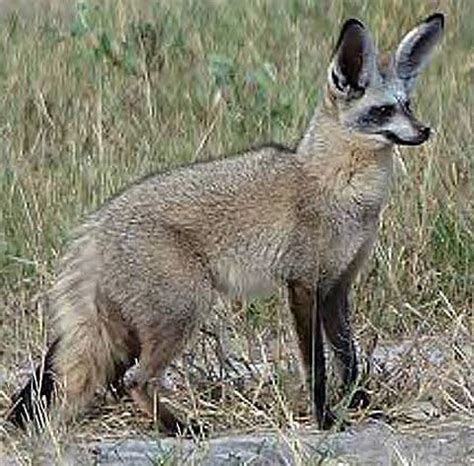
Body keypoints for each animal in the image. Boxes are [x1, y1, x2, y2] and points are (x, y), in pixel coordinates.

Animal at [7, 11, 444, 434]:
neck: (337, 186)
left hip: (130, 332)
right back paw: (181, 428)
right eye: (383, 110)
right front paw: (324, 418)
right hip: (183, 311)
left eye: (408, 104)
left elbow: (347, 359)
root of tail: (98, 223)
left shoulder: (337, 287)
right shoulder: (303, 283)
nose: (425, 130)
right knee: (134, 380)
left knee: (111, 378)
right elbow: (316, 366)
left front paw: (363, 405)